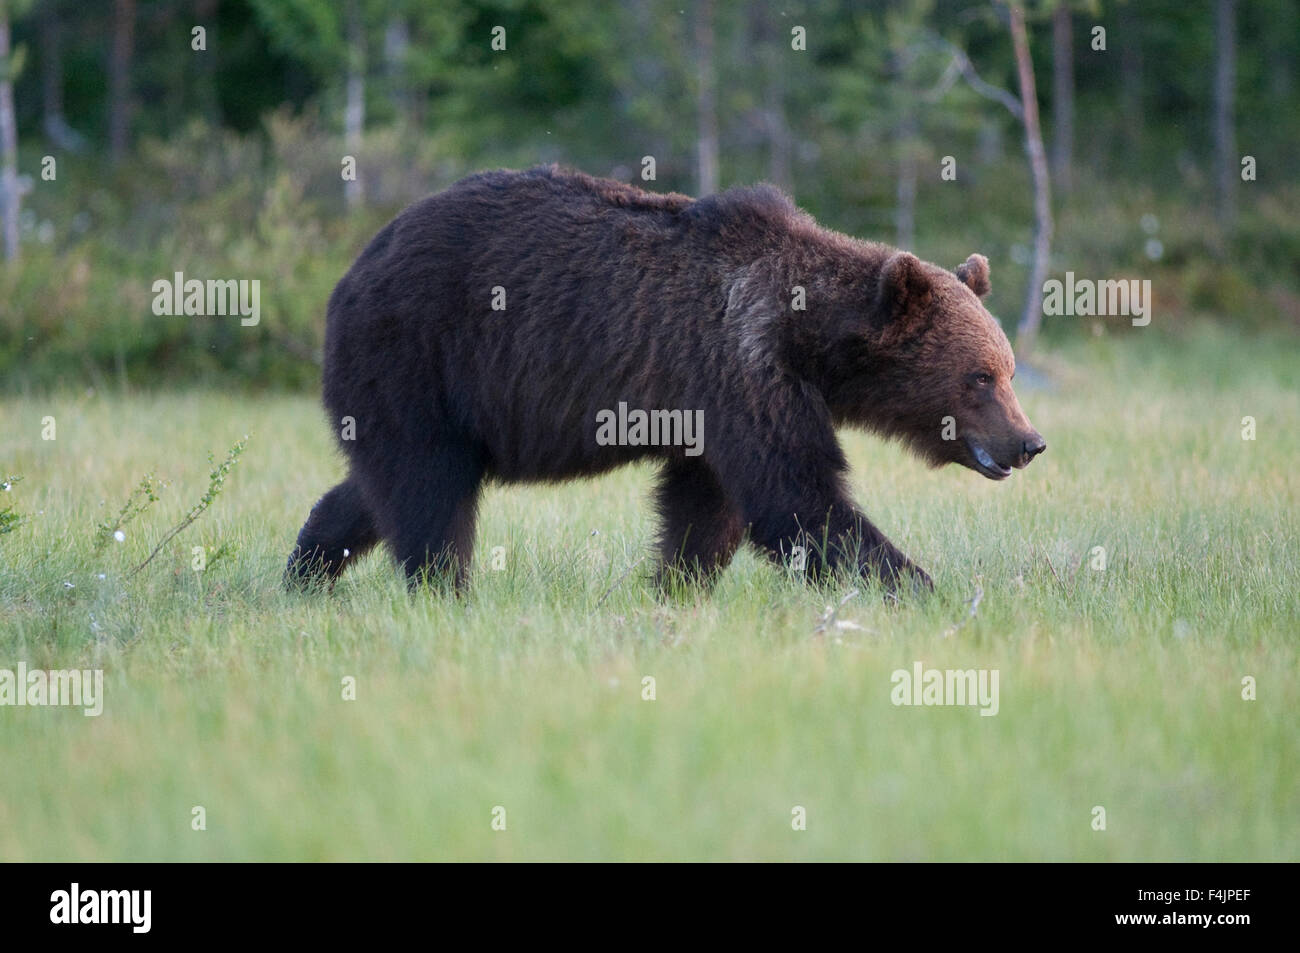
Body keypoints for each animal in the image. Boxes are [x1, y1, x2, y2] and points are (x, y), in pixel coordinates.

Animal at [286, 165, 1045, 594]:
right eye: (979, 376)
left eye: (1008, 371)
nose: (1030, 441)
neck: (809, 340)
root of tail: (353, 270)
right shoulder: (739, 365)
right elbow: (795, 500)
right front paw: (921, 587)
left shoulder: (716, 401)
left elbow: (707, 506)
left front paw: (675, 587)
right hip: (415, 356)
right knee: (428, 487)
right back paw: (442, 588)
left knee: (378, 486)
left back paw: (306, 570)